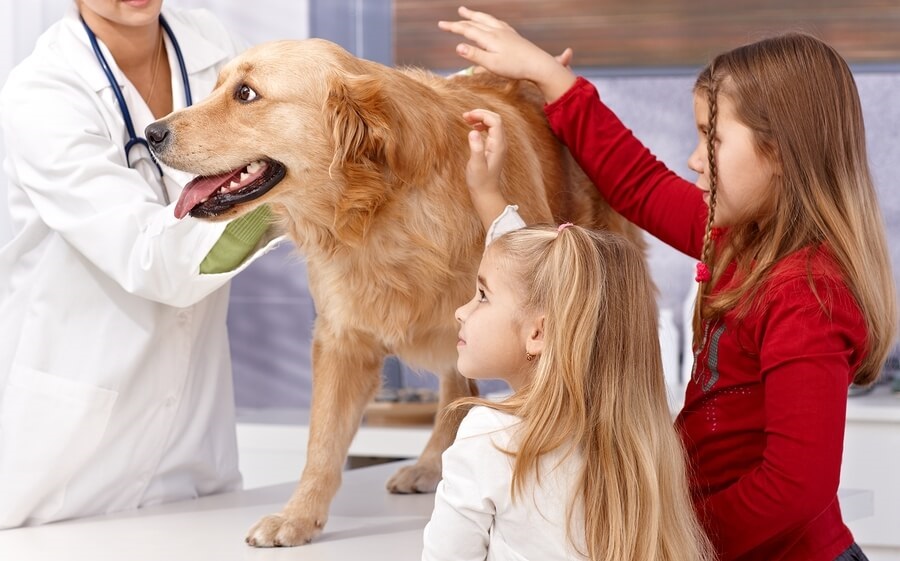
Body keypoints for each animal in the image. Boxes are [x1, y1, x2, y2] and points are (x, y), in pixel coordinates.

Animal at [146, 37, 640, 544]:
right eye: (217, 86)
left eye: (245, 93)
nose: (151, 133)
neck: (379, 207)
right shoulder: (341, 338)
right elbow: (322, 440)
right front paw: (299, 516)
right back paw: (430, 464)